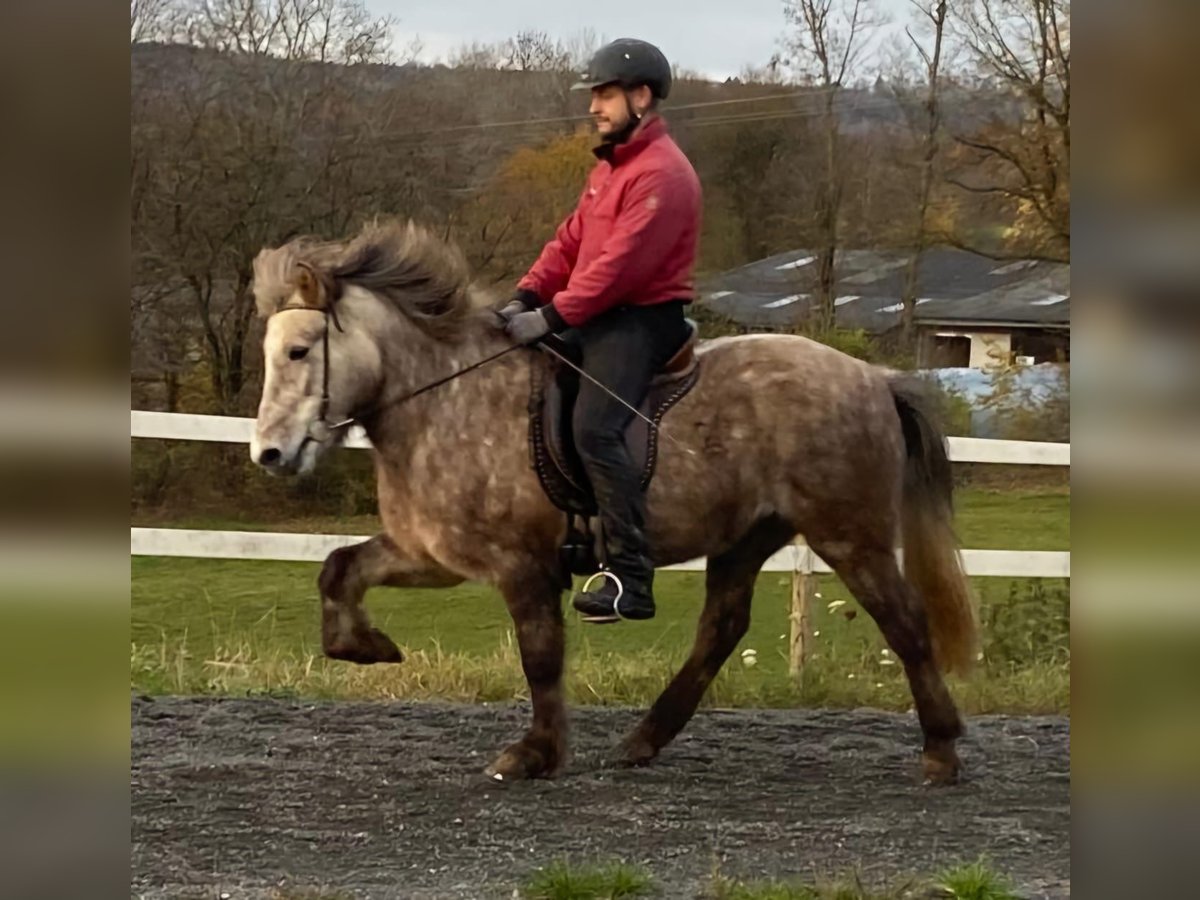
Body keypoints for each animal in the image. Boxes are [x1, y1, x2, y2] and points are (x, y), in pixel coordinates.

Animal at [249, 218, 978, 784]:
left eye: (300, 350)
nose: (270, 454)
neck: (445, 396)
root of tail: (873, 377)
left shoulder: (520, 564)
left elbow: (541, 657)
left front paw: (535, 753)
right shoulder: (431, 553)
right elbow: (338, 569)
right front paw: (363, 646)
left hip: (849, 534)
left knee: (905, 625)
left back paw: (942, 750)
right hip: (747, 538)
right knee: (721, 630)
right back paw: (644, 740)